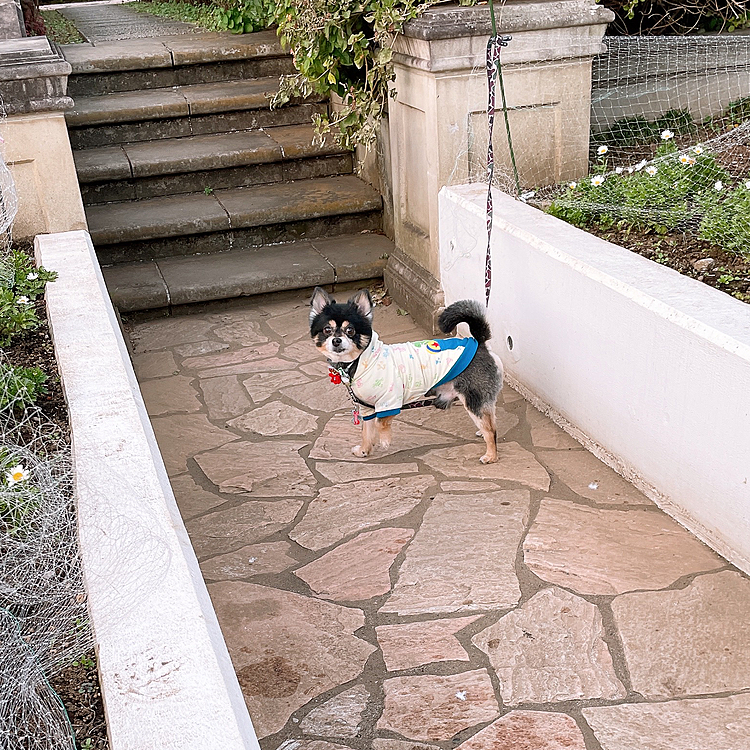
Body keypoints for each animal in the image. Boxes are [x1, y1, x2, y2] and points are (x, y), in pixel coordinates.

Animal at [312, 288, 506, 464]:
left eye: (350, 331)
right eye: (327, 330)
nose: (336, 340)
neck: (359, 362)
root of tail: (479, 343)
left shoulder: (389, 402)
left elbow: (380, 424)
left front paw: (384, 440)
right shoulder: (367, 408)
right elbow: (367, 431)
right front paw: (364, 450)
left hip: (473, 398)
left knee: (491, 430)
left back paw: (491, 455)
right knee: (491, 419)